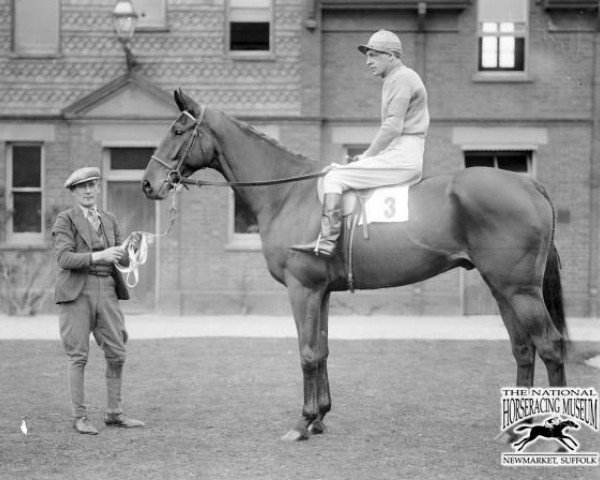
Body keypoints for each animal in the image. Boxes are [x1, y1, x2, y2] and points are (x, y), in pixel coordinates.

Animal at [142, 89, 568, 442]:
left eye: (178, 130)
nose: (148, 184)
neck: (290, 193)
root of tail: (528, 184)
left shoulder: (303, 289)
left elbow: (307, 352)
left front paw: (303, 422)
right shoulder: (322, 293)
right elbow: (323, 349)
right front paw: (320, 417)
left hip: (519, 291)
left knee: (550, 345)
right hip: (501, 289)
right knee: (523, 348)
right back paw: (515, 429)